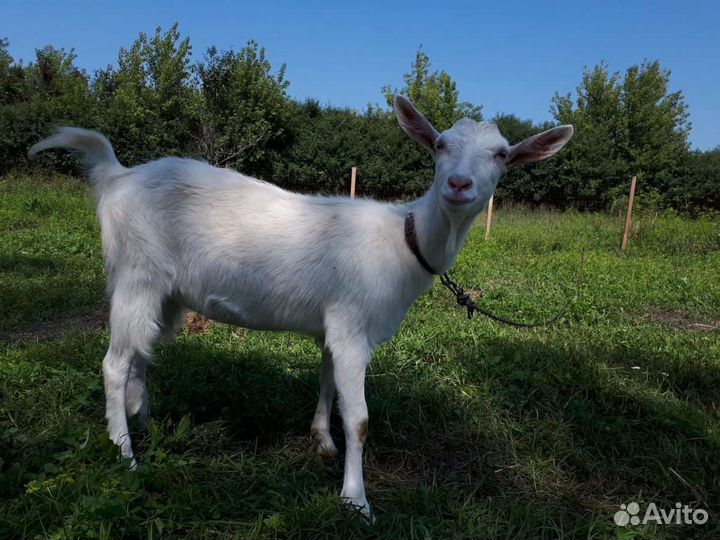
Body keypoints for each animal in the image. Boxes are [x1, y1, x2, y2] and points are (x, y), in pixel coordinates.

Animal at [29, 96, 573, 519]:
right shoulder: (353, 325)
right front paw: (356, 501)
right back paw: (125, 454)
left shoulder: (335, 325)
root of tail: (115, 176)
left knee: (141, 352)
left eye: (502, 154)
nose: (458, 185)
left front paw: (321, 441)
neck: (404, 242)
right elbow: (360, 418)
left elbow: (327, 381)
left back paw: (144, 421)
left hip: (166, 294)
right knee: (114, 362)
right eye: (439, 145)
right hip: (135, 275)